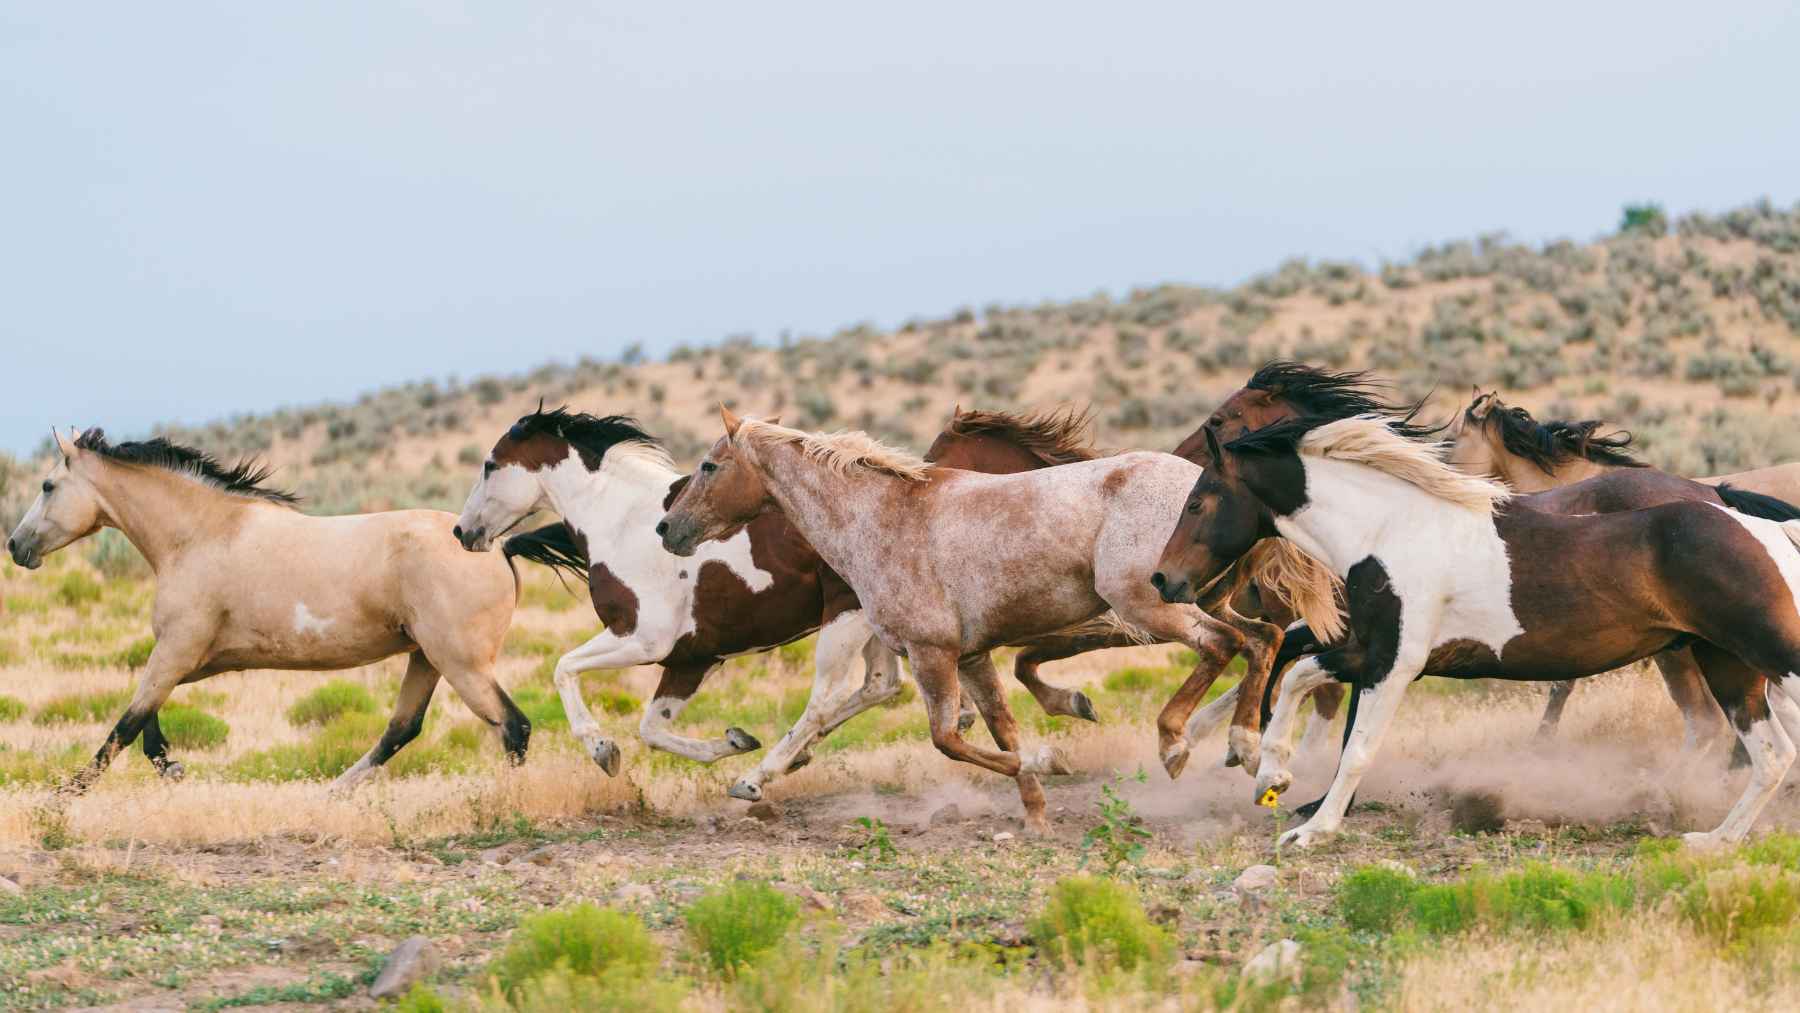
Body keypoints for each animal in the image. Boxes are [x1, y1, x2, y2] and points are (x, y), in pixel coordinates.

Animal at [5, 428, 527, 793]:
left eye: (48, 485)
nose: (14, 545)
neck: (201, 534)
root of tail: (498, 547)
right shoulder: (198, 660)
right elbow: (146, 715)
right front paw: (172, 767)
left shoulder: (176, 651)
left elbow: (126, 724)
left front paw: (64, 795)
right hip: (426, 657)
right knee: (403, 728)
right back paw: (333, 792)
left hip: (460, 662)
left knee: (512, 726)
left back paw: (503, 804)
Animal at [657, 408, 1263, 831]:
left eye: (709, 465)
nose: (667, 529)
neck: (881, 518)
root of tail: (1207, 484)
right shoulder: (972, 656)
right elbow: (1003, 730)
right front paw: (1037, 815)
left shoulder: (932, 655)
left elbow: (947, 739)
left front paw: (1052, 760)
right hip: (1201, 599)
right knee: (1262, 641)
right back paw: (1246, 748)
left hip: (1149, 603)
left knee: (1222, 644)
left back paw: (1178, 746)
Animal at [1153, 415, 1800, 849]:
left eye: (1199, 500)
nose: (1164, 579)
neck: (1387, 532)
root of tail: (1763, 528)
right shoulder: (1371, 652)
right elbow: (1298, 678)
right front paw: (1272, 775)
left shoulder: (1394, 662)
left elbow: (1357, 745)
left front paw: (1312, 830)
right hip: (1728, 664)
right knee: (1770, 754)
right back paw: (1713, 841)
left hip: (1766, 656)